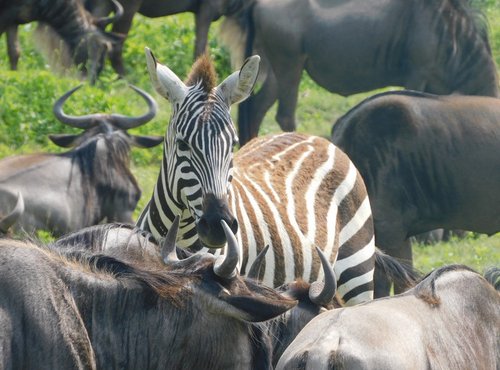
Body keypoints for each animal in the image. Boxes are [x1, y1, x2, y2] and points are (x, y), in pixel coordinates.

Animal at [137, 47, 376, 304]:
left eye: (233, 144)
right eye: (183, 144)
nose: (217, 225)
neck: (179, 235)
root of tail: (315, 137)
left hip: (358, 273)